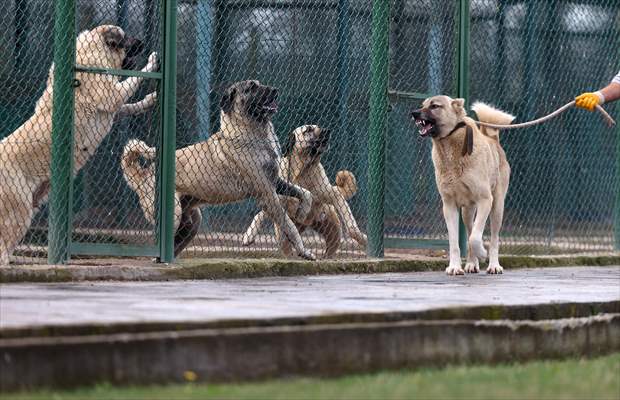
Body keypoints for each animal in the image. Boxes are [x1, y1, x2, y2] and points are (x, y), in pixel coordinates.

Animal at [412, 95, 512, 276]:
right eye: (422, 105)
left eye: (435, 106)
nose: (414, 113)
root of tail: (493, 140)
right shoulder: (449, 206)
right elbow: (455, 241)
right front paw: (455, 267)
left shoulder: (485, 200)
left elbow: (475, 238)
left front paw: (482, 253)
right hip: (467, 211)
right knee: (471, 230)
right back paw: (472, 264)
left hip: (497, 208)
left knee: (493, 239)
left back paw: (494, 265)